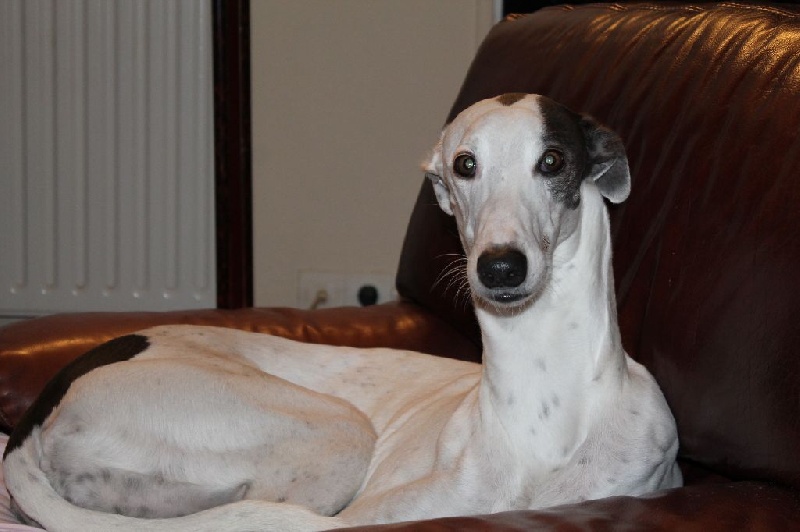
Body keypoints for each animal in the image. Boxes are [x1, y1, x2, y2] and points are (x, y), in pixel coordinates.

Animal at [3, 93, 682, 531]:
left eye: (553, 161)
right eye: (465, 164)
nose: (500, 268)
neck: (542, 404)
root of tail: (48, 398)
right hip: (336, 429)